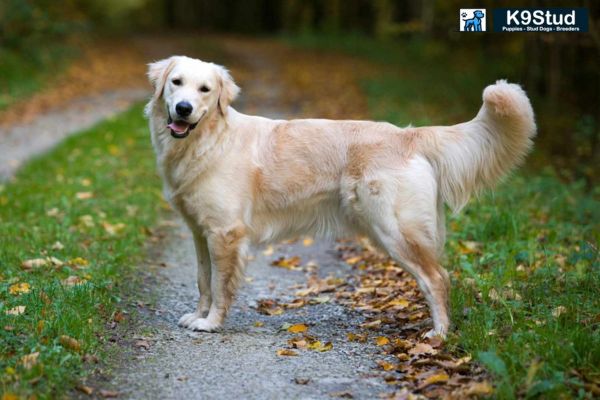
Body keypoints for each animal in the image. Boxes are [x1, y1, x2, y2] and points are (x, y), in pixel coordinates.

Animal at [144, 56, 536, 338]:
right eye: (176, 83)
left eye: (205, 89)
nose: (183, 108)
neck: (208, 140)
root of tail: (408, 134)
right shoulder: (201, 233)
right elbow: (202, 280)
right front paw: (198, 315)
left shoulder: (226, 233)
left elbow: (220, 285)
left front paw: (211, 323)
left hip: (395, 231)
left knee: (437, 278)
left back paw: (439, 335)